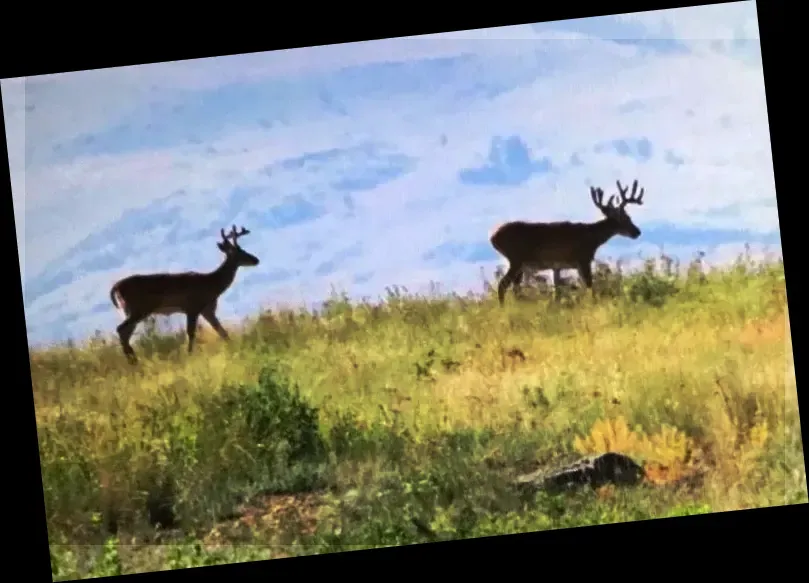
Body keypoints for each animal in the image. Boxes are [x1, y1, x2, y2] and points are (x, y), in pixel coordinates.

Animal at [109, 226, 260, 362]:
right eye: (238, 251)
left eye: (242, 249)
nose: (256, 259)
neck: (212, 284)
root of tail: (115, 288)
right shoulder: (192, 307)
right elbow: (191, 333)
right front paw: (190, 356)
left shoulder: (207, 310)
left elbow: (221, 330)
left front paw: (233, 347)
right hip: (138, 309)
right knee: (121, 329)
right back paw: (133, 361)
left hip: (131, 311)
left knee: (125, 333)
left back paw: (133, 360)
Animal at [486, 178, 644, 306]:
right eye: (626, 218)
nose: (637, 232)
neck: (591, 237)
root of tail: (493, 237)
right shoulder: (583, 259)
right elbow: (589, 286)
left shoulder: (558, 266)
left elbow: (559, 291)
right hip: (516, 259)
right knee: (502, 285)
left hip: (519, 264)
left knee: (515, 288)